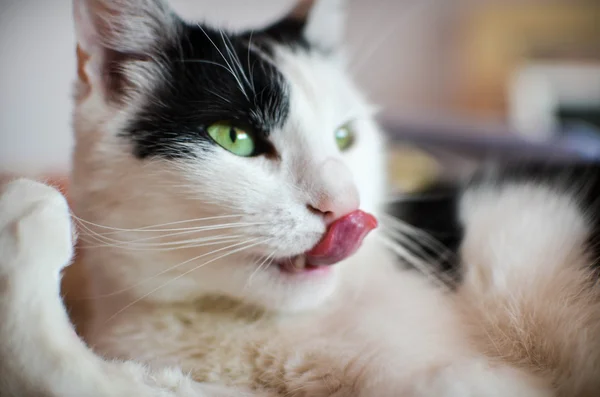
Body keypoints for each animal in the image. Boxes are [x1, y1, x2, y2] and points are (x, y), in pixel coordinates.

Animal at [1, 0, 600, 396]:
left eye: (344, 137)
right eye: (234, 137)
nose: (344, 204)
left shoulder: (471, 380)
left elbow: (60, 370)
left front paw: (28, 219)